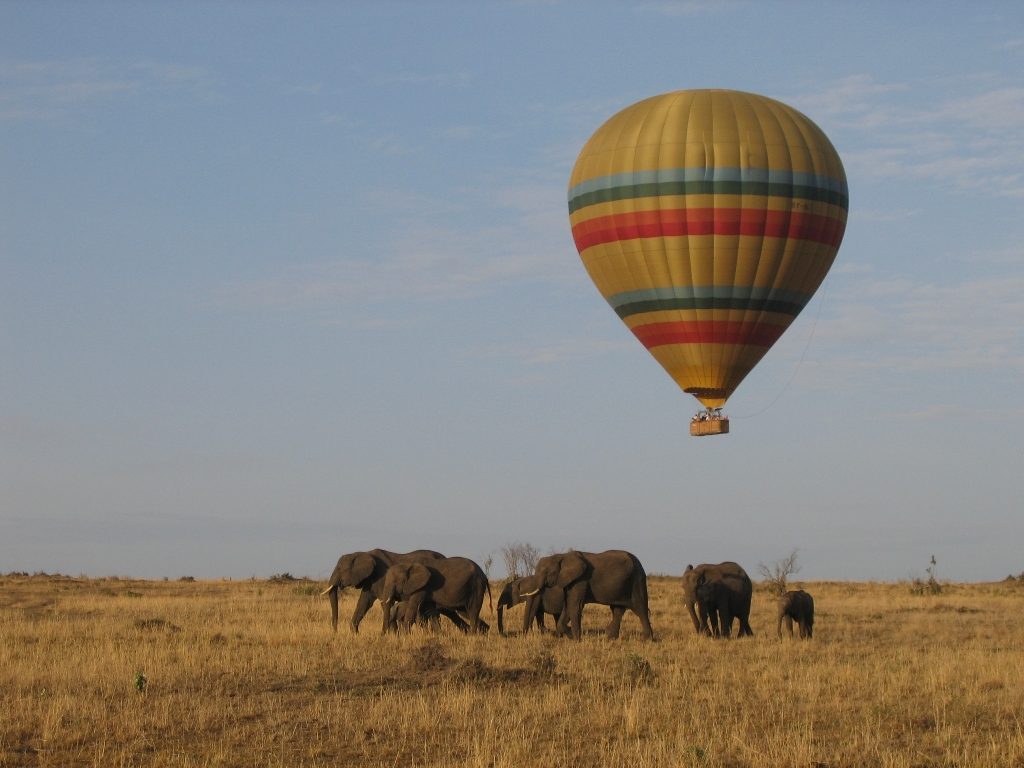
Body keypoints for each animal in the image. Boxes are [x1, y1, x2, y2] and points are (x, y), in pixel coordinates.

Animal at [319, 548, 468, 634]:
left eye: (340, 569)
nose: (335, 632)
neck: (362, 554)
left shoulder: (381, 576)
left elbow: (384, 603)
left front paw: (390, 634)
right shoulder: (369, 581)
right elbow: (364, 602)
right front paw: (354, 633)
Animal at [520, 548, 655, 638]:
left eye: (546, 572)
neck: (562, 556)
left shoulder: (581, 580)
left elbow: (575, 606)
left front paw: (576, 640)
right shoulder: (569, 581)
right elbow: (568, 606)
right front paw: (570, 635)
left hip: (637, 580)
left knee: (640, 609)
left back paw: (647, 639)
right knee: (617, 610)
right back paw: (610, 637)